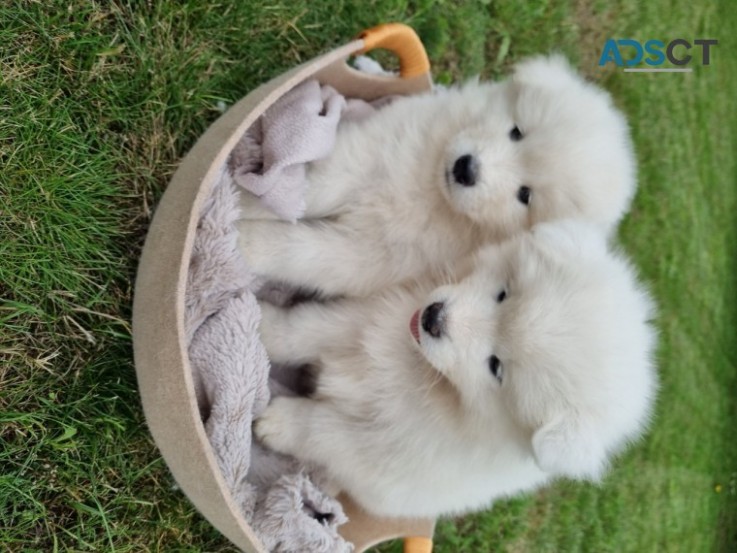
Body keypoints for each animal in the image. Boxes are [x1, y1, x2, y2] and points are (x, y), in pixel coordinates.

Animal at [239, 55, 636, 298]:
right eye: (516, 132)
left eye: (525, 195)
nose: (466, 169)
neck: (432, 190)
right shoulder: (368, 156)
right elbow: (313, 189)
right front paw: (244, 200)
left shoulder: (370, 254)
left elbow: (301, 251)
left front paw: (246, 240)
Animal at [252, 219, 656, 516]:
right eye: (503, 295)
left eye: (497, 368)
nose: (432, 317)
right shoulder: (368, 318)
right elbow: (305, 329)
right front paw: (264, 327)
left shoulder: (379, 453)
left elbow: (323, 430)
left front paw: (277, 423)